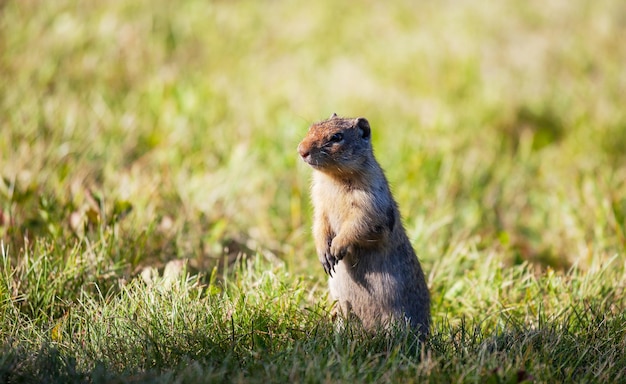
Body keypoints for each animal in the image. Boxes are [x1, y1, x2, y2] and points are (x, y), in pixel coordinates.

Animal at [298, 112, 428, 334]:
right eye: (311, 127)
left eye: (337, 137)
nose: (301, 150)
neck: (334, 179)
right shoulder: (320, 205)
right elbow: (319, 225)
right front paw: (324, 255)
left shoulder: (369, 204)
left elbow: (359, 225)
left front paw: (337, 247)